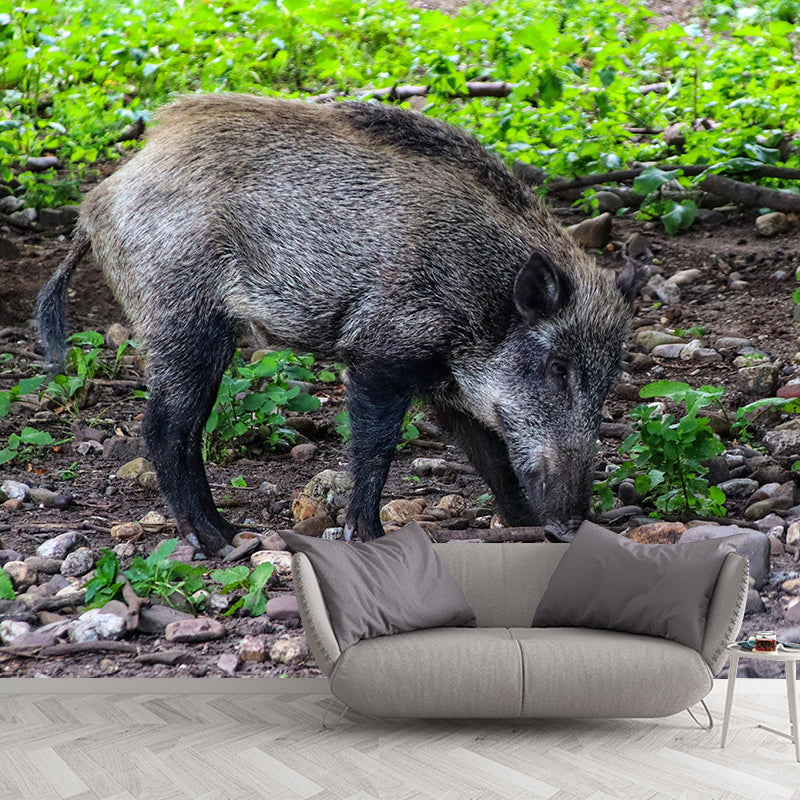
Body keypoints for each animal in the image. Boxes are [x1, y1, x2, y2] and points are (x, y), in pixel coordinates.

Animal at [36, 93, 634, 555]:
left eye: (608, 382)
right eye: (557, 367)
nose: (571, 524)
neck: (483, 296)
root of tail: (96, 202)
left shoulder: (447, 386)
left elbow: (491, 454)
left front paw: (525, 526)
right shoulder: (381, 351)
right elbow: (375, 445)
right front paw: (366, 536)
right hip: (183, 319)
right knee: (166, 429)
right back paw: (223, 539)